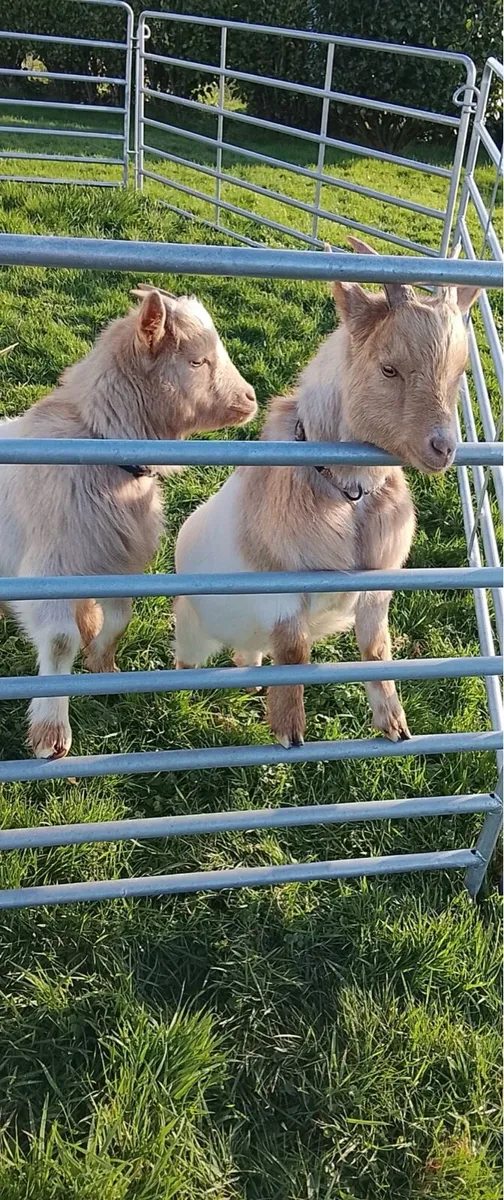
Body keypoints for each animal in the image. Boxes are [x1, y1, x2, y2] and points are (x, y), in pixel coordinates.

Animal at [0, 285, 257, 759]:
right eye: (196, 362)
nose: (250, 398)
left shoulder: (116, 563)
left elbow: (120, 619)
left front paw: (103, 665)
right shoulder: (49, 571)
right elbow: (60, 641)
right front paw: (51, 733)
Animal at [174, 237, 479, 747]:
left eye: (459, 374)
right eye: (389, 368)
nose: (443, 448)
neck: (348, 496)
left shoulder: (377, 587)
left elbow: (375, 650)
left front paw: (395, 725)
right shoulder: (280, 592)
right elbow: (295, 652)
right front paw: (289, 731)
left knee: (249, 655)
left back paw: (252, 678)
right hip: (191, 626)